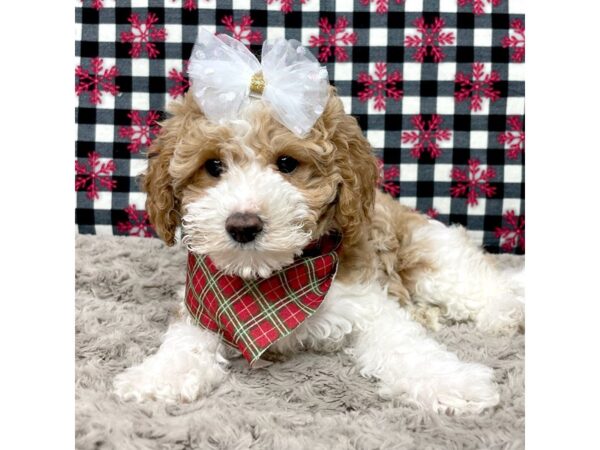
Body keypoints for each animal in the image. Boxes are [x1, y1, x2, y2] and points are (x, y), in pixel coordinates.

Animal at [113, 33, 524, 416]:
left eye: (287, 163)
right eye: (213, 166)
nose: (243, 225)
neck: (264, 283)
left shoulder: (368, 304)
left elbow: (405, 345)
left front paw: (451, 382)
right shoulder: (198, 306)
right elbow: (185, 341)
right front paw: (159, 375)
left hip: (431, 257)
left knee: (487, 285)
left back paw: (503, 314)